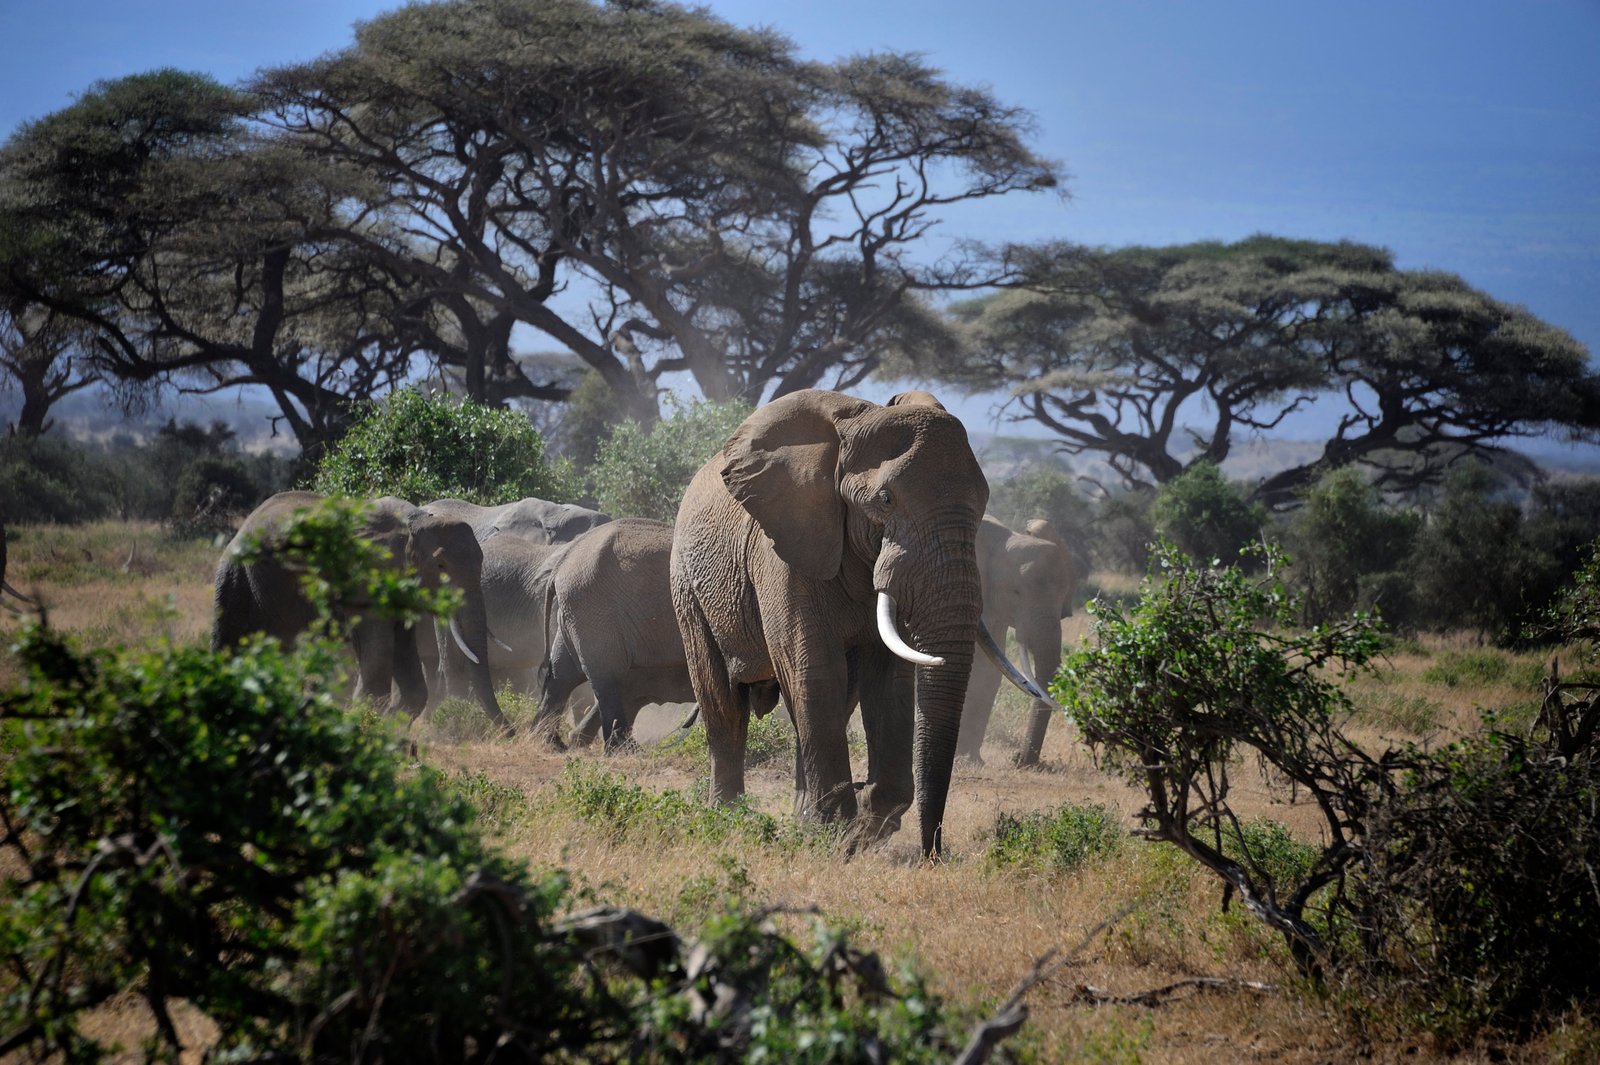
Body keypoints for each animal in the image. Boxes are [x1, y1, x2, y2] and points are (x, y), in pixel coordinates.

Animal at [212, 491, 509, 732]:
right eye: (440, 566)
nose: (512, 733)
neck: (415, 521)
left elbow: (409, 671)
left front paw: (389, 730)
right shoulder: (366, 577)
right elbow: (377, 659)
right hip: (236, 573)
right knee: (228, 642)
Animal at [670, 388, 1040, 857]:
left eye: (984, 504)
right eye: (886, 500)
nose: (933, 854)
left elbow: (889, 680)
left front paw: (857, 830)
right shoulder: (786, 549)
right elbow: (813, 669)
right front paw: (839, 829)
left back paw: (802, 821)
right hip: (687, 584)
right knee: (723, 702)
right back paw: (729, 819)